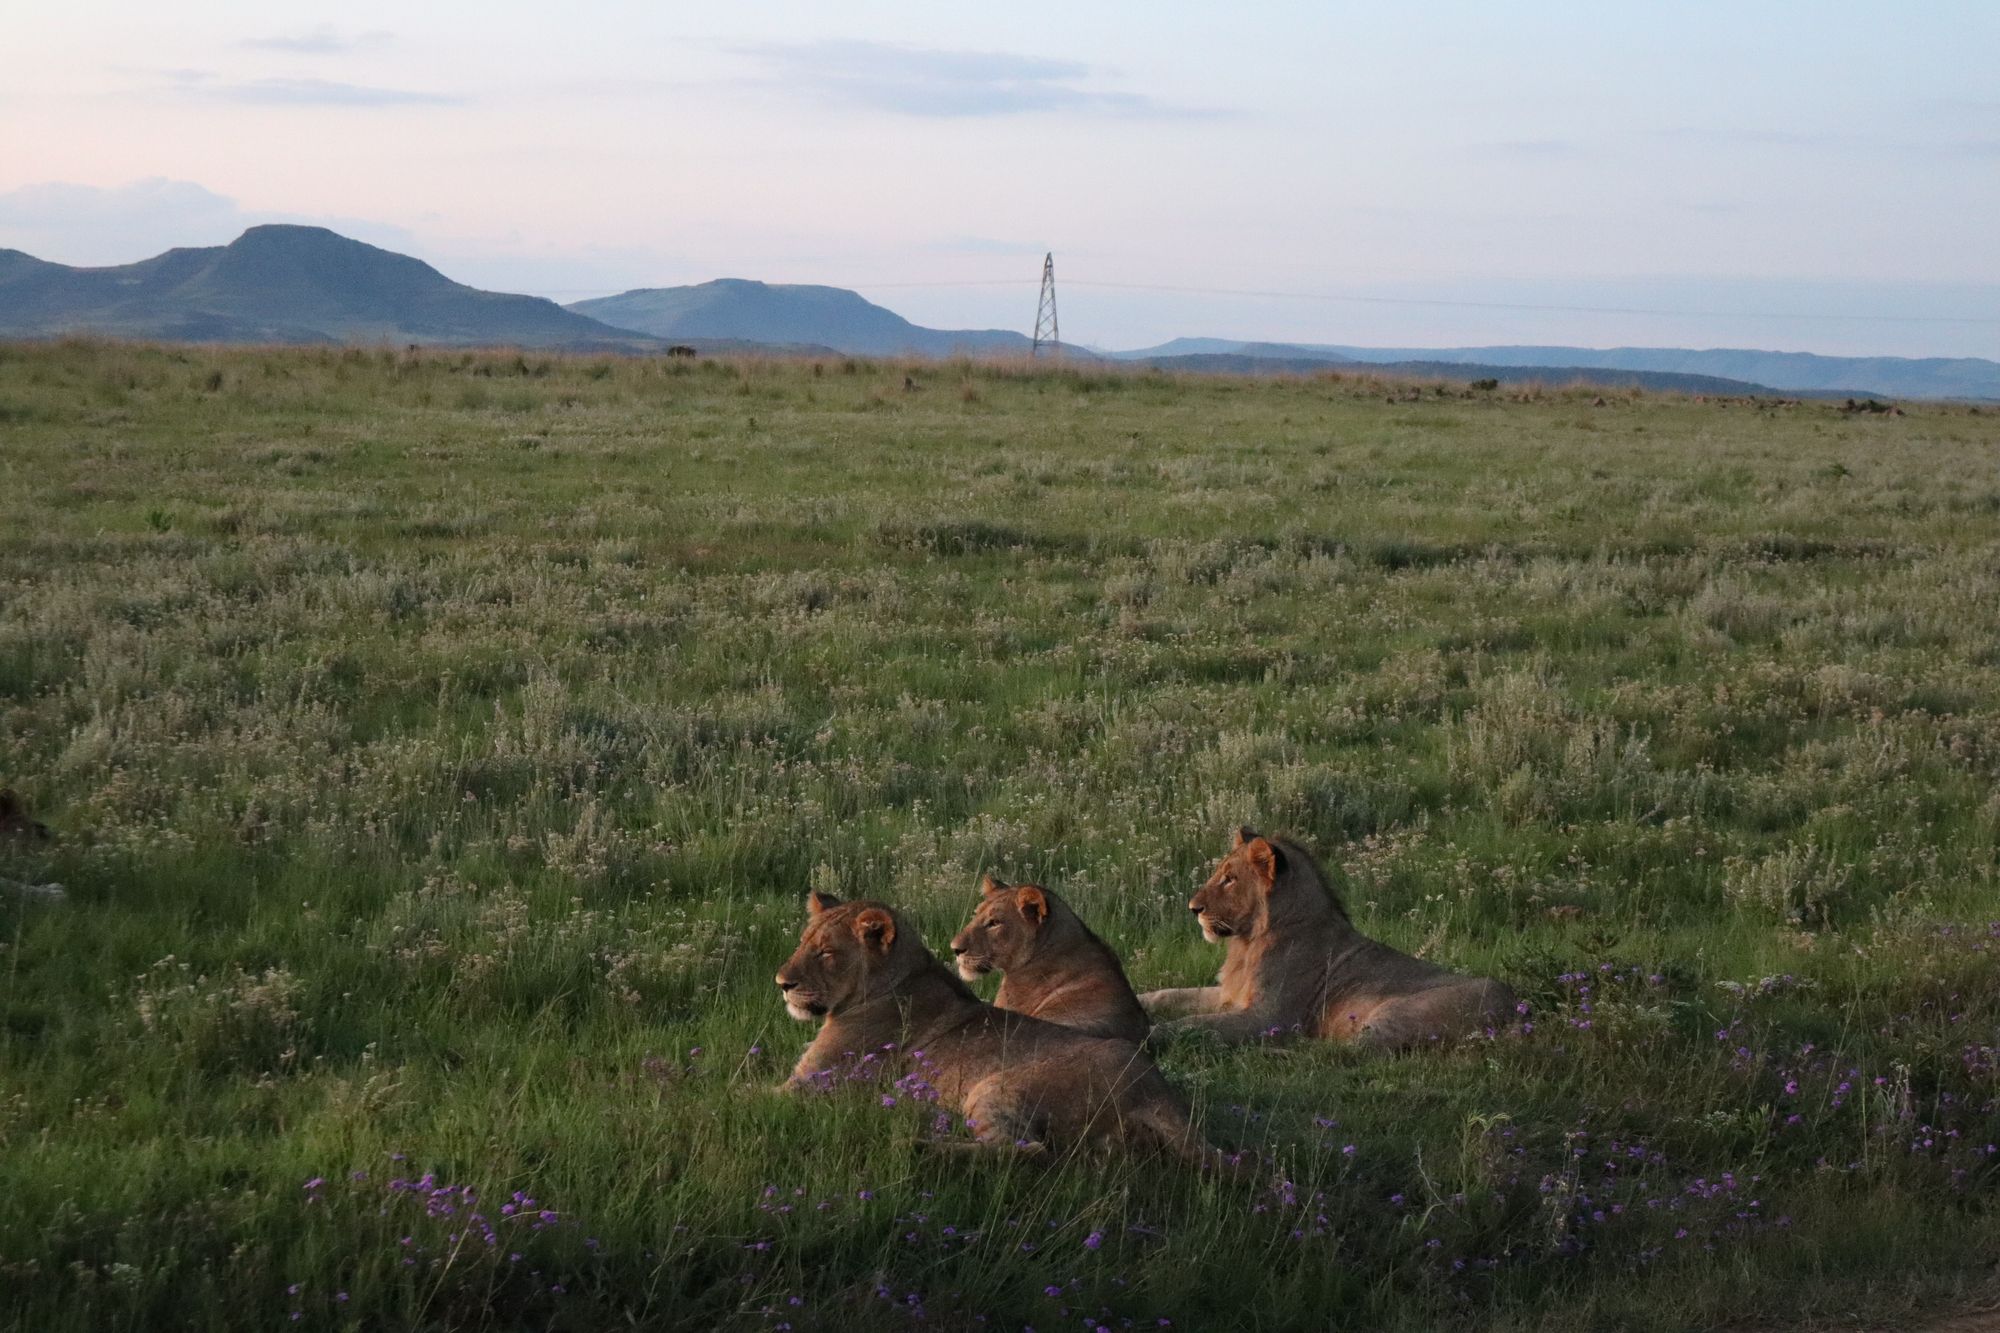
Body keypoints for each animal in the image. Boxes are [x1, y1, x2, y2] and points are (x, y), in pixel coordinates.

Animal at [776, 892, 1216, 1160]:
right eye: (802, 942)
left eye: (826, 952)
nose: (782, 983)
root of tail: (1153, 1087)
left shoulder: (810, 1083)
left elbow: (758, 1096)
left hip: (994, 1086)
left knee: (1028, 1152)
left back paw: (916, 1144)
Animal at [1144, 820, 1512, 1048]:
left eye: (1230, 879)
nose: (1193, 908)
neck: (1247, 942)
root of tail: (1515, 1003)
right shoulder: (1229, 994)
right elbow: (1171, 994)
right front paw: (1143, 1000)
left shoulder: (1268, 1016)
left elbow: (1196, 1023)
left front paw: (1152, 1033)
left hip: (1393, 1014)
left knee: (1342, 1053)